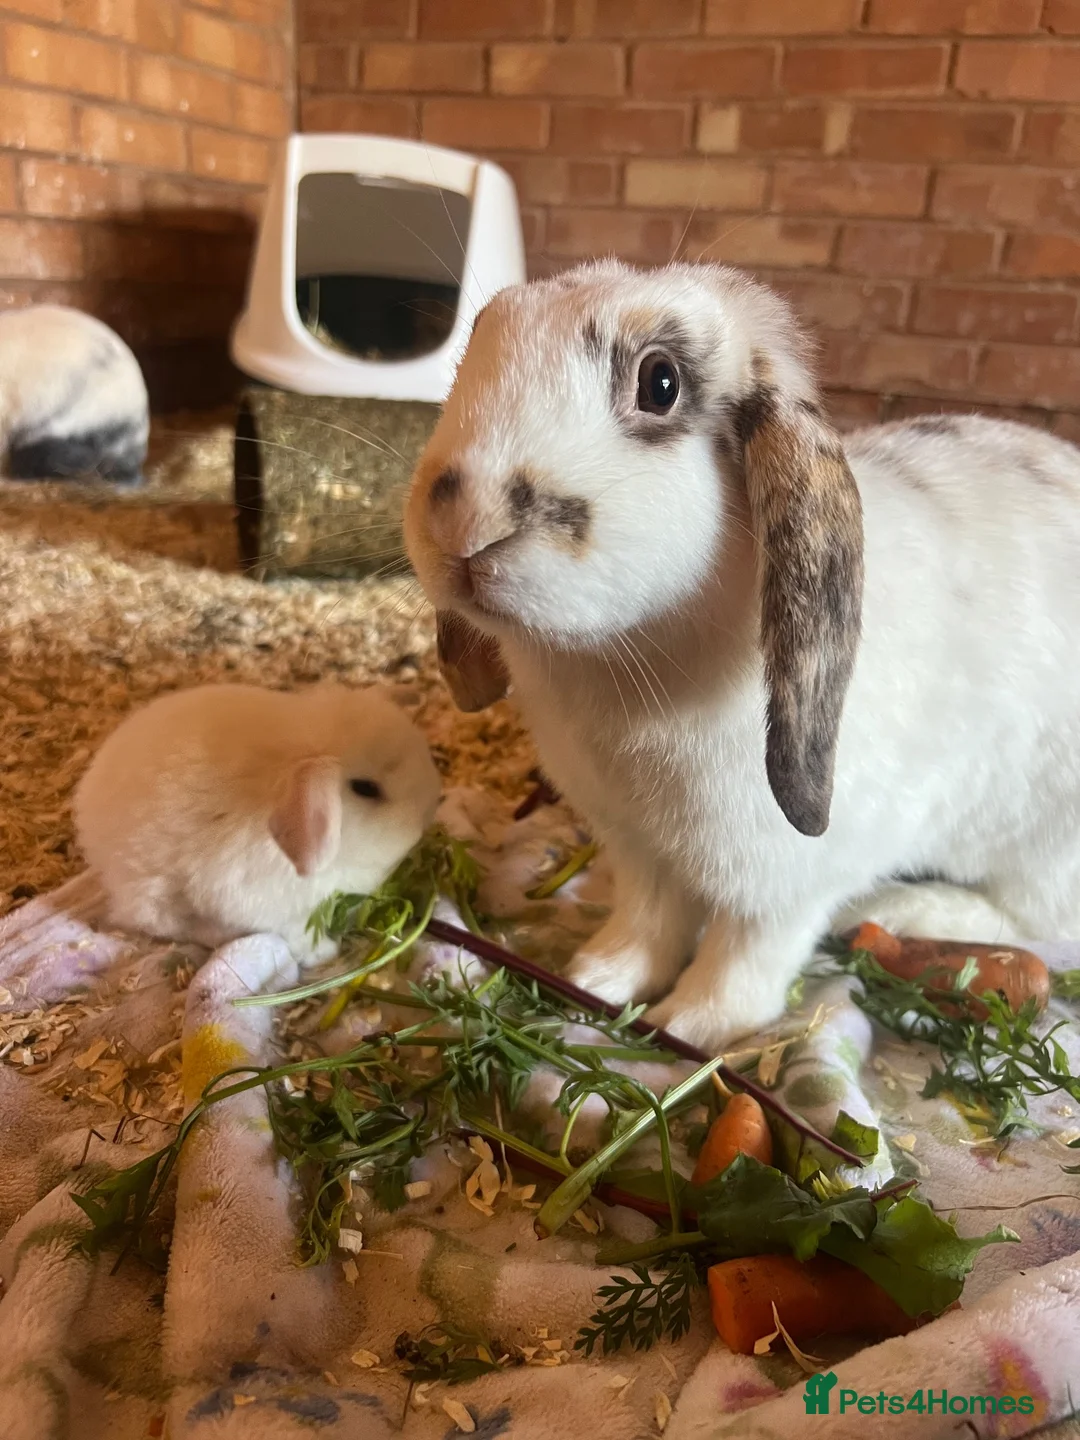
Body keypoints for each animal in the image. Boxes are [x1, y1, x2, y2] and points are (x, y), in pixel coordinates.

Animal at [403, 257, 1080, 1051]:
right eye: (473, 346)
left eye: (660, 382)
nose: (461, 521)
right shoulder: (637, 849)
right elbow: (648, 922)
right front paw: (598, 979)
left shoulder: (787, 882)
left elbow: (746, 955)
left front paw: (692, 1024)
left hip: (1044, 842)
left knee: (1039, 921)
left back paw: (902, 910)